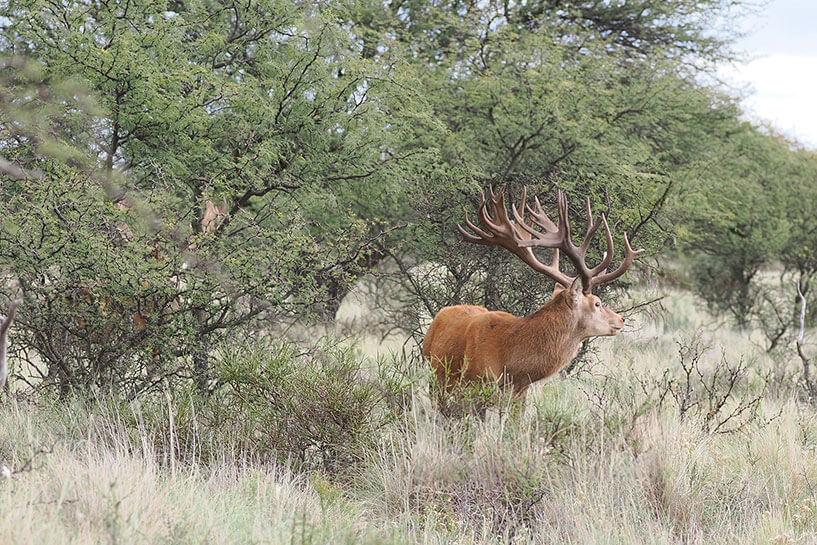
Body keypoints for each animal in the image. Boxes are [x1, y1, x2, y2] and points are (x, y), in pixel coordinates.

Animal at [422, 186, 643, 399]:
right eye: (597, 303)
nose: (621, 319)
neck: (511, 363)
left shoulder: (521, 391)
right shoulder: (477, 384)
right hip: (435, 378)